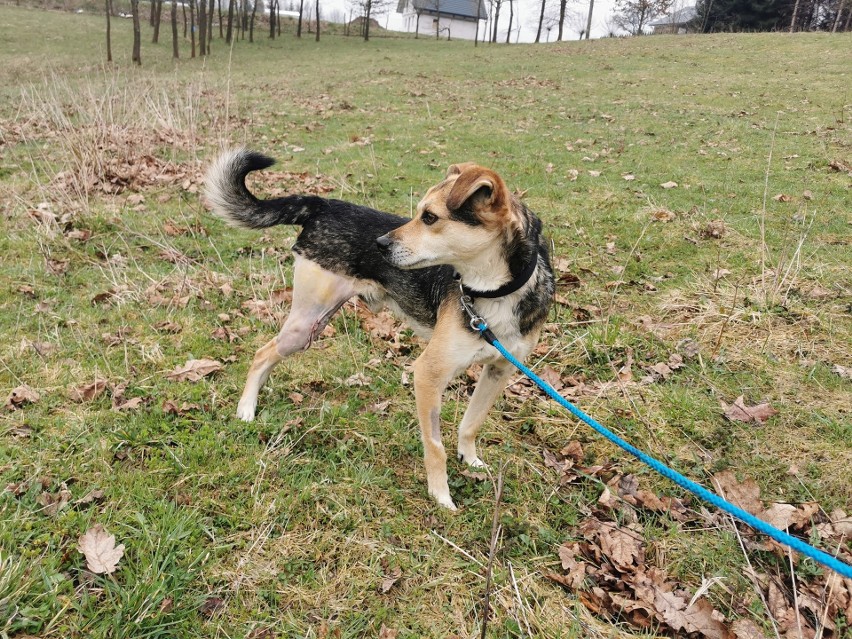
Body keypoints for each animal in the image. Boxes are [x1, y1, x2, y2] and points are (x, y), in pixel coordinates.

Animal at [204, 149, 556, 510]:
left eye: (430, 217)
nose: (380, 244)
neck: (494, 291)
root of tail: (324, 204)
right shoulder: (428, 373)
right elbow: (435, 447)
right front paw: (440, 496)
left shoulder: (499, 370)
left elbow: (472, 423)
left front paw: (469, 459)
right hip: (305, 325)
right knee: (262, 353)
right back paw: (246, 409)